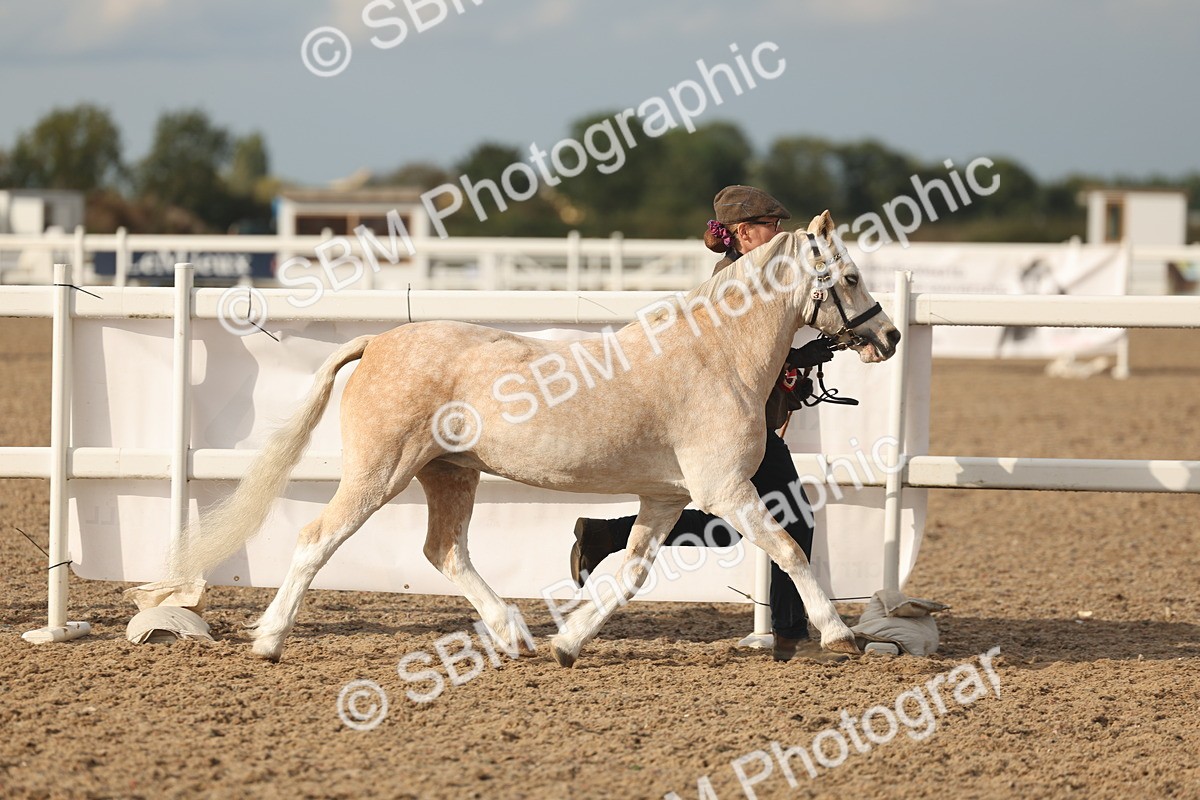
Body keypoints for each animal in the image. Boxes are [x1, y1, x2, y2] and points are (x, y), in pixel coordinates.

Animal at [168, 211, 902, 665]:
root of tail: (376, 340)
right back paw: (268, 642)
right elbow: (790, 550)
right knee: (317, 539)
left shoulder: (667, 498)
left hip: (451, 473)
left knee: (445, 552)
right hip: (381, 473)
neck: (715, 355)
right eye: (851, 276)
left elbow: (628, 575)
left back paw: (515, 634)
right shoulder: (725, 491)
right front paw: (839, 635)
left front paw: (568, 645)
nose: (889, 336)